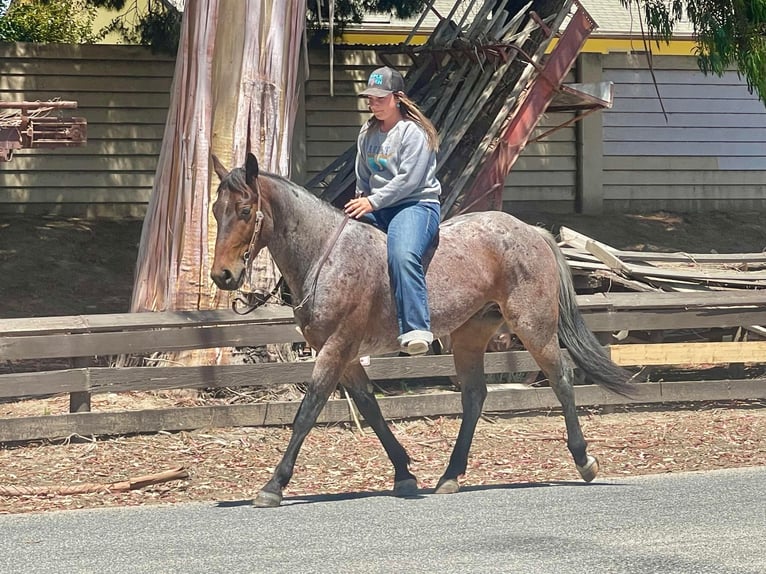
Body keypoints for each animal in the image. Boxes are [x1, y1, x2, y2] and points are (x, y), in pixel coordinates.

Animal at [213, 153, 640, 508]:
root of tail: (532, 231)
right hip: (470, 337)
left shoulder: (336, 349)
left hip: (533, 326)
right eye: (217, 209)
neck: (328, 257)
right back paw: (450, 476)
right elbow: (370, 408)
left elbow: (307, 411)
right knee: (474, 396)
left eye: (246, 209)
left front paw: (273, 485)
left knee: (561, 379)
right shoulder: (346, 356)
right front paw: (404, 472)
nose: (223, 275)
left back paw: (584, 460)